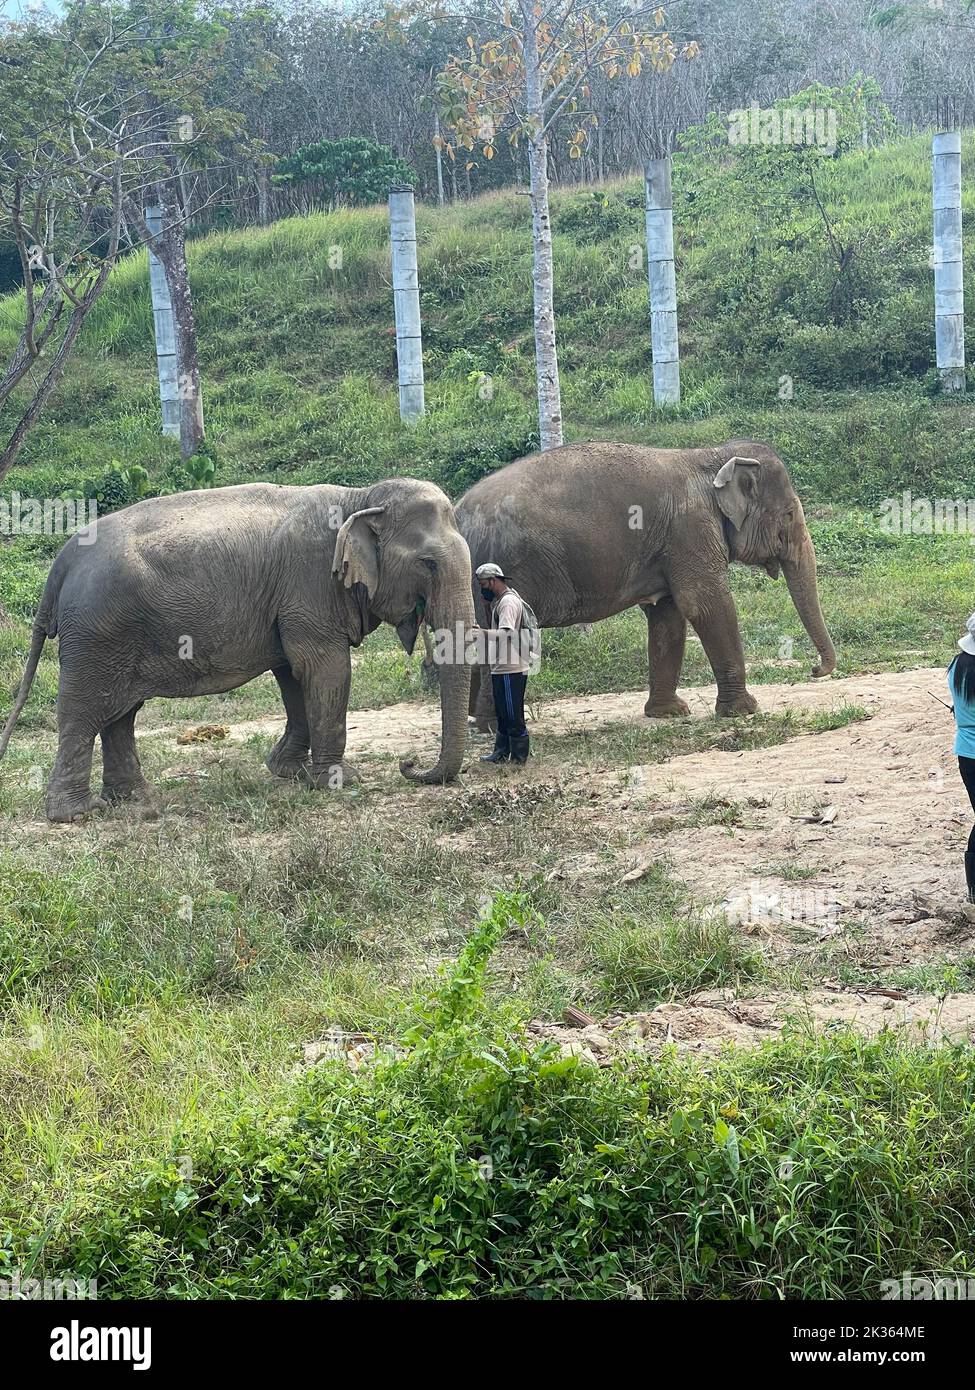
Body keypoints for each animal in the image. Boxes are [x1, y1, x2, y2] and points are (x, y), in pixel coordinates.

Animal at [0, 480, 472, 817]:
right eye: (428, 563)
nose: (409, 766)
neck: (360, 495)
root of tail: (62, 562)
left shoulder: (287, 602)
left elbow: (292, 674)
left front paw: (288, 771)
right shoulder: (309, 587)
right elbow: (323, 668)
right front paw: (341, 781)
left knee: (121, 713)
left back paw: (135, 799)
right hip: (95, 632)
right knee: (83, 710)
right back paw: (78, 813)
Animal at [453, 442, 834, 728]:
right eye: (789, 514)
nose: (815, 669)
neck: (711, 457)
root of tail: (458, 515)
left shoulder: (671, 545)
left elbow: (668, 615)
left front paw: (669, 713)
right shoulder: (690, 529)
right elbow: (705, 604)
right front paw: (744, 711)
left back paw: (477, 722)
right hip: (510, 569)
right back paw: (492, 726)